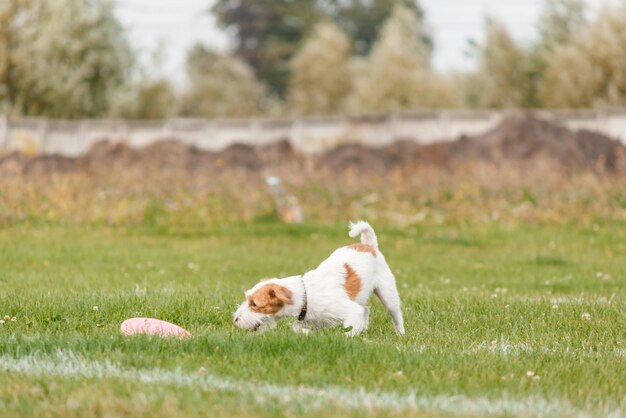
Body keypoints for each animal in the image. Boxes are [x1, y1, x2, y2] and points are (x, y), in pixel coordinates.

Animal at [232, 222, 402, 336]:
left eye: (254, 304)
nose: (235, 319)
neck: (306, 295)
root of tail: (369, 246)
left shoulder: (351, 311)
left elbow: (349, 330)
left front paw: (347, 338)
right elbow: (297, 328)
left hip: (388, 294)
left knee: (396, 315)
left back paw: (401, 334)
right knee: (366, 310)